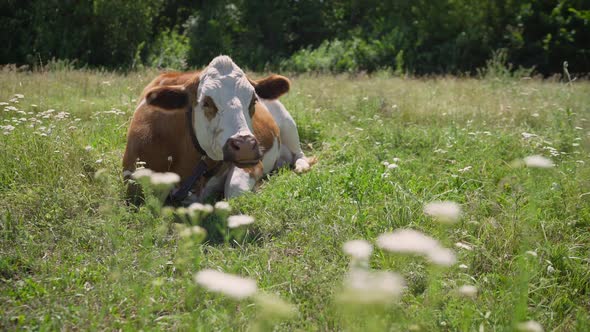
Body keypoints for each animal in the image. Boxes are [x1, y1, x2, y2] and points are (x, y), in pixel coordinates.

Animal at [123, 55, 316, 204]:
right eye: (206, 102)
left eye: (253, 100)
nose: (245, 145)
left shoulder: (253, 164)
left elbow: (234, 188)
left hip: (288, 123)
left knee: (299, 153)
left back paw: (301, 166)